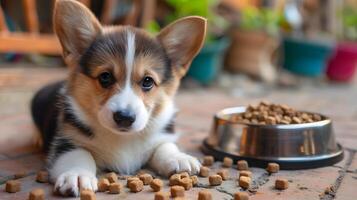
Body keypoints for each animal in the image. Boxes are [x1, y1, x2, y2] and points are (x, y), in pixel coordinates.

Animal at [30, 0, 206, 196]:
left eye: (147, 81)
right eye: (105, 77)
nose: (125, 118)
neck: (123, 138)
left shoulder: (162, 133)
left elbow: (164, 145)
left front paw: (179, 157)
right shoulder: (67, 140)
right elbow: (80, 154)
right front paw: (77, 174)